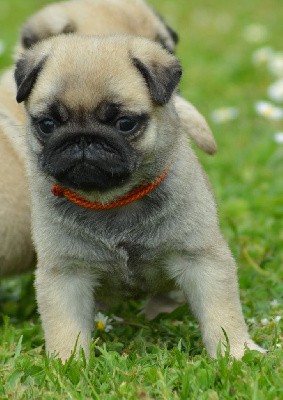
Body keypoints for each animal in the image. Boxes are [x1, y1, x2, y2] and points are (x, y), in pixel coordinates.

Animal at [13, 33, 266, 360]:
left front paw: (235, 352)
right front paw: (67, 362)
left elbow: (221, 314)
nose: (83, 139)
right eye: (47, 125)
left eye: (124, 123)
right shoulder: (66, 273)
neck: (112, 201)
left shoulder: (201, 259)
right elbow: (65, 326)